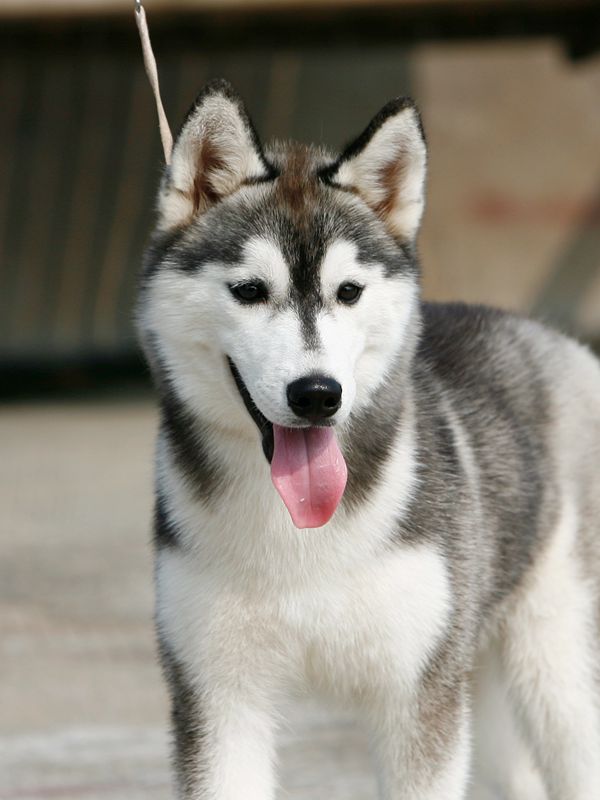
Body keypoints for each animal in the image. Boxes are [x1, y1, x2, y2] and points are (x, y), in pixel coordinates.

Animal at [137, 79, 600, 799]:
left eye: (348, 291)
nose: (317, 394)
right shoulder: (218, 694)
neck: (299, 535)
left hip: (554, 666)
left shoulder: (418, 699)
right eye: (249, 290)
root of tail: (548, 334)